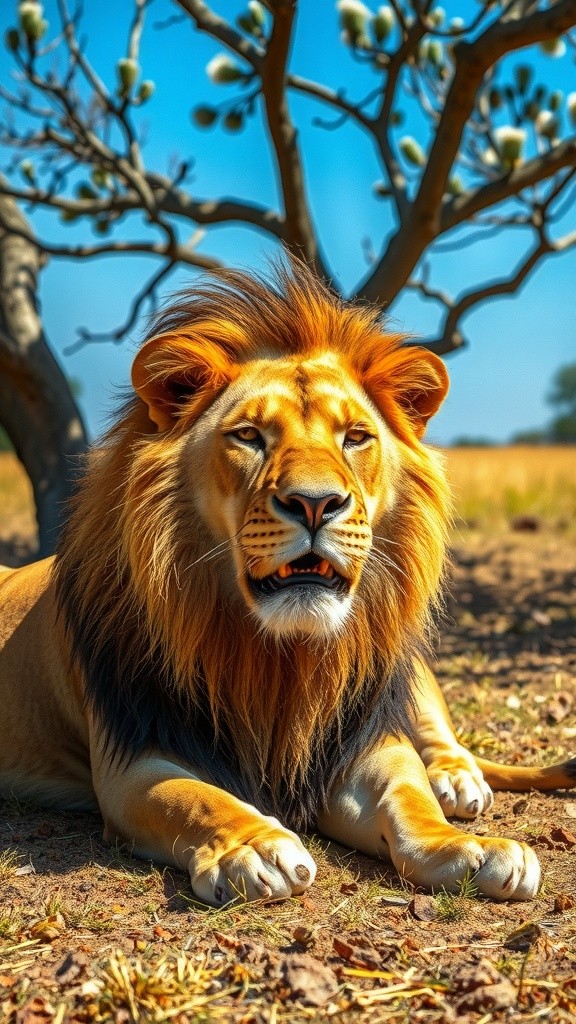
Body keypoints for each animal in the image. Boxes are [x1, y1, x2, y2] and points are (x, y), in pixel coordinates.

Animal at [1, 261, 574, 906]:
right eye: (249, 436)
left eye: (355, 437)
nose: (315, 503)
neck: (282, 657)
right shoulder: (134, 758)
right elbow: (199, 798)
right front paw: (254, 846)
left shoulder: (363, 743)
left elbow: (409, 797)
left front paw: (467, 847)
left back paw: (456, 780)